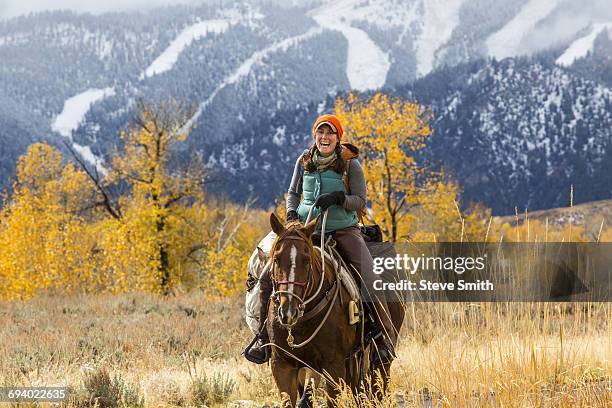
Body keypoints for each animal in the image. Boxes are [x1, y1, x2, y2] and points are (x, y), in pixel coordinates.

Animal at [262, 212, 402, 406]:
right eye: (276, 259)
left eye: (306, 260)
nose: (288, 311)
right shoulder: (282, 365)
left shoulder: (333, 366)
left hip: (378, 359)